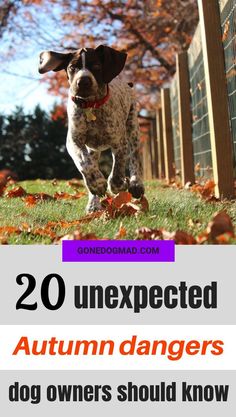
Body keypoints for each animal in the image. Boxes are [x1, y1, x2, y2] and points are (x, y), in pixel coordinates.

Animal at [38, 46, 145, 211]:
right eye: (72, 68)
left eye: (96, 66)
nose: (83, 81)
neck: (91, 106)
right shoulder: (74, 142)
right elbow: (85, 164)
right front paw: (97, 184)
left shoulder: (119, 142)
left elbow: (118, 169)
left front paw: (119, 184)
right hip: (93, 149)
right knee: (91, 163)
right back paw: (93, 204)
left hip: (132, 128)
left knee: (135, 157)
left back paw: (135, 184)